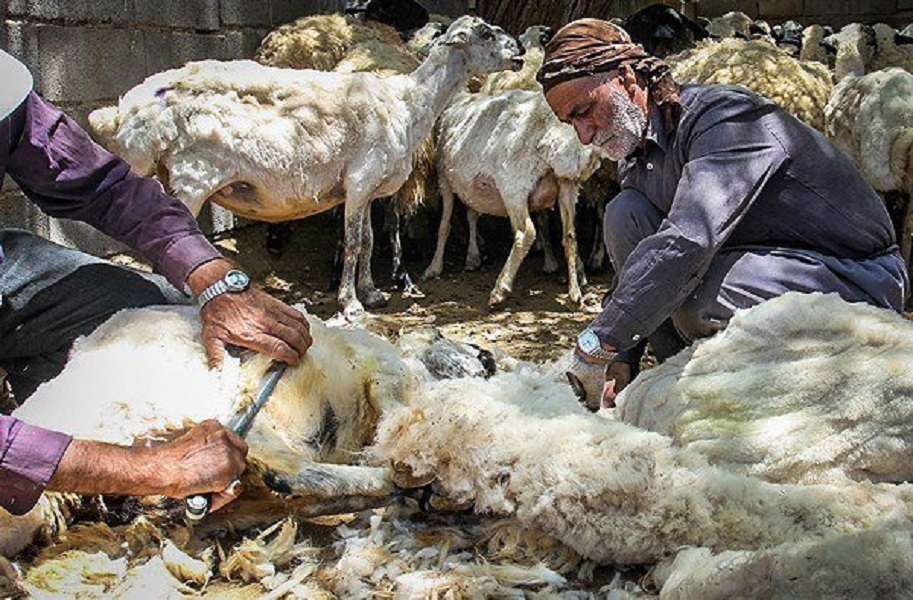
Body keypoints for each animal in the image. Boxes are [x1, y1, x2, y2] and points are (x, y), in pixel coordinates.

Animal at [90, 16, 524, 318]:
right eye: (485, 33)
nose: (519, 49)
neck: (408, 101)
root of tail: (129, 113)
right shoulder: (361, 178)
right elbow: (353, 243)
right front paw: (350, 303)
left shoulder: (364, 189)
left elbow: (368, 242)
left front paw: (372, 293)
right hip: (191, 177)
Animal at [428, 90, 604, 310]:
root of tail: (564, 141)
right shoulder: (470, 189)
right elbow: (472, 215)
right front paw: (473, 256)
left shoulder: (444, 180)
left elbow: (444, 226)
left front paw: (434, 267)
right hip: (567, 185)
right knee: (570, 235)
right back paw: (574, 292)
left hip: (514, 184)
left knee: (526, 232)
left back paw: (500, 290)